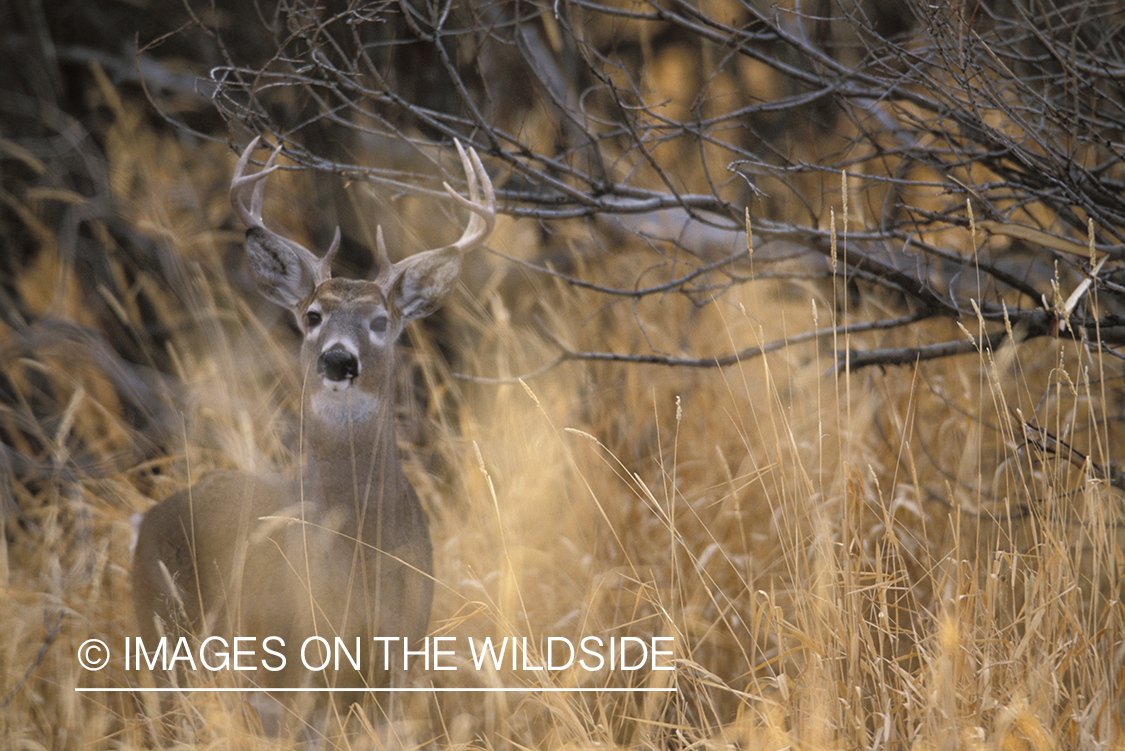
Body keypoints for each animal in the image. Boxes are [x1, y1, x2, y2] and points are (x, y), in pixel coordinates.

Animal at [130, 137, 492, 737]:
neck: (360, 557)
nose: (338, 359)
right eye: (313, 315)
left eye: (380, 321)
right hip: (163, 641)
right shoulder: (298, 671)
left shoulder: (397, 658)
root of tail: (144, 521)